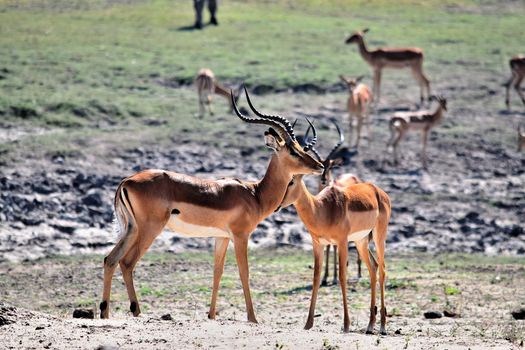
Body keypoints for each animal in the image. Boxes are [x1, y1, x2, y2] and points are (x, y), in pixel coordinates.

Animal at [97, 87, 324, 322]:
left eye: (300, 148)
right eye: (293, 151)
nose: (320, 166)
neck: (255, 194)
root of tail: (127, 181)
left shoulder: (221, 237)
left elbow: (217, 272)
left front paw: (212, 315)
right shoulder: (240, 236)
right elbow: (244, 272)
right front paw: (253, 318)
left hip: (132, 229)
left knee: (110, 259)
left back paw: (104, 313)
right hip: (149, 229)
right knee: (127, 263)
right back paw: (136, 311)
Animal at [278, 125, 388, 334]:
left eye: (291, 181)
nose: (277, 205)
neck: (322, 209)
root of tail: (377, 190)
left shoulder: (342, 242)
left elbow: (343, 277)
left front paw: (346, 324)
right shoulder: (318, 244)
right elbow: (316, 277)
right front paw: (308, 323)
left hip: (379, 236)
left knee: (383, 269)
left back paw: (383, 327)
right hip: (361, 241)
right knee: (373, 267)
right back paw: (370, 325)